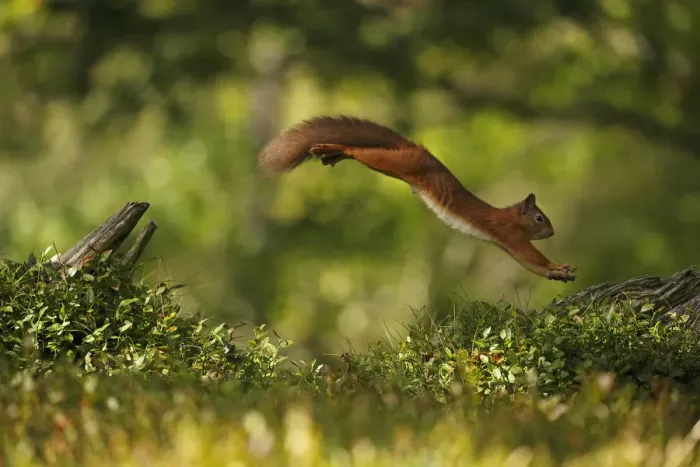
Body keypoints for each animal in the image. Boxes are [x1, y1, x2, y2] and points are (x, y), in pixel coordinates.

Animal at [258, 116, 576, 282]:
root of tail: (416, 147)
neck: (512, 217)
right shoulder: (511, 234)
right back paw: (333, 148)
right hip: (398, 162)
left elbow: (529, 265)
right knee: (360, 151)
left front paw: (558, 273)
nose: (553, 232)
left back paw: (332, 153)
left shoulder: (507, 245)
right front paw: (558, 265)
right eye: (539, 218)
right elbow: (532, 256)